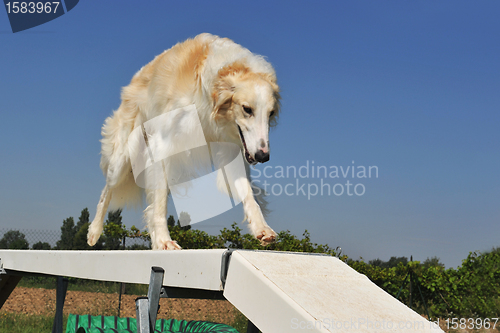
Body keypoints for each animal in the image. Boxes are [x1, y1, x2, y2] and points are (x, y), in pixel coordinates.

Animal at [86, 33, 282, 249]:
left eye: (271, 113)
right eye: (247, 109)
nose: (263, 156)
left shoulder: (231, 150)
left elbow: (249, 195)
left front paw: (262, 229)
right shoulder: (162, 143)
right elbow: (159, 206)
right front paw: (164, 240)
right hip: (124, 158)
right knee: (107, 191)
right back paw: (94, 232)